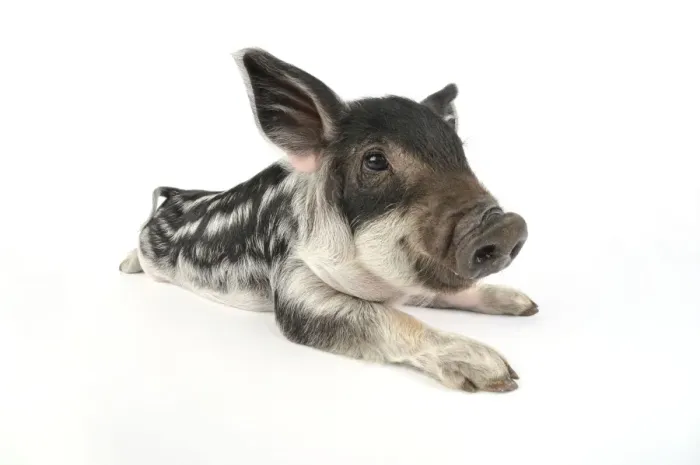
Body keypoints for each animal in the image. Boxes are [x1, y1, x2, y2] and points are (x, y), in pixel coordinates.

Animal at [119, 48, 537, 393]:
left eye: (459, 151)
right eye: (374, 160)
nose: (504, 225)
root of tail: (176, 196)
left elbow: (439, 291)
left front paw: (526, 305)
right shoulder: (294, 285)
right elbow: (386, 318)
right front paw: (500, 375)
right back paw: (124, 268)